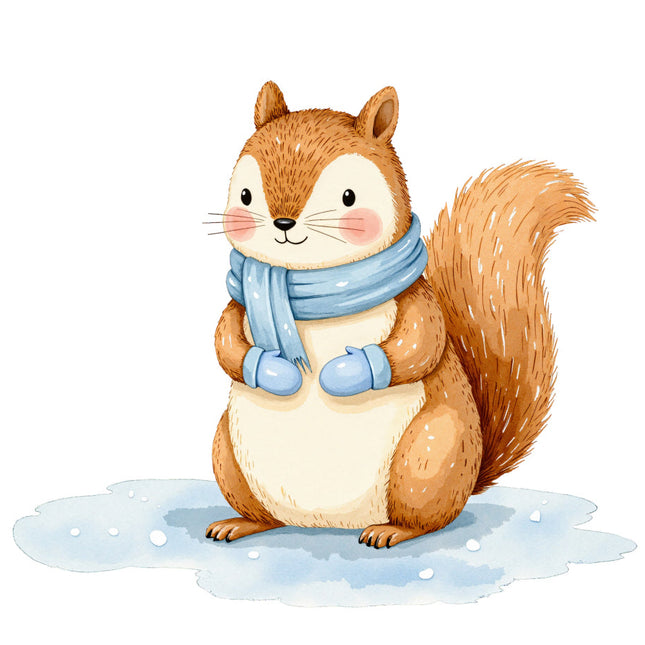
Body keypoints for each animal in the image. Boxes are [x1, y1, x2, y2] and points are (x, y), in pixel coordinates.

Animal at [205, 81, 594, 548]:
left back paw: (390, 531)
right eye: (246, 196)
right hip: (227, 453)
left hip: (427, 455)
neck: (311, 282)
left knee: (428, 520)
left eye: (349, 197)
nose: (283, 223)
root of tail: (321, 523)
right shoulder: (239, 304)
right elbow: (225, 343)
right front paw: (271, 371)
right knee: (263, 514)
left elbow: (421, 344)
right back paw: (239, 523)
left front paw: (344, 373)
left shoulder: (416, 301)